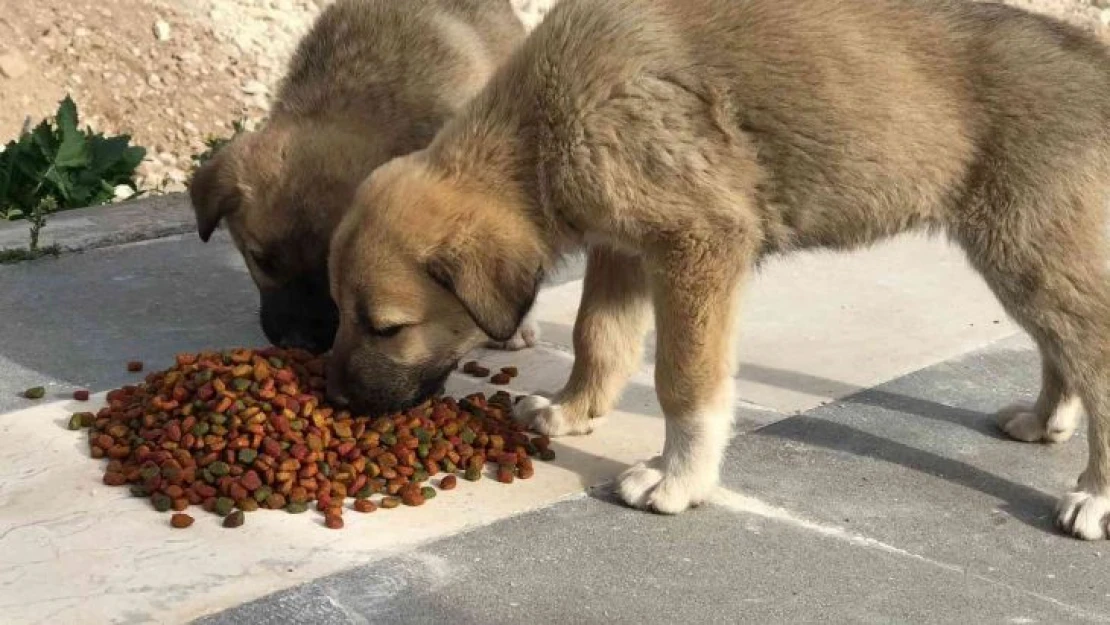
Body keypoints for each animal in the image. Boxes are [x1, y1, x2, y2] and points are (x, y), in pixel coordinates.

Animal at [326, 0, 1110, 539]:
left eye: (387, 327)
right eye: (339, 312)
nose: (333, 399)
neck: (538, 135)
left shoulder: (698, 243)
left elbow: (684, 380)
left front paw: (678, 478)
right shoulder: (622, 246)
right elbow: (597, 336)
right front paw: (575, 410)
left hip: (1027, 244)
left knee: (1093, 355)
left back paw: (1094, 495)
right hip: (1025, 250)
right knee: (1060, 344)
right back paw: (1044, 419)